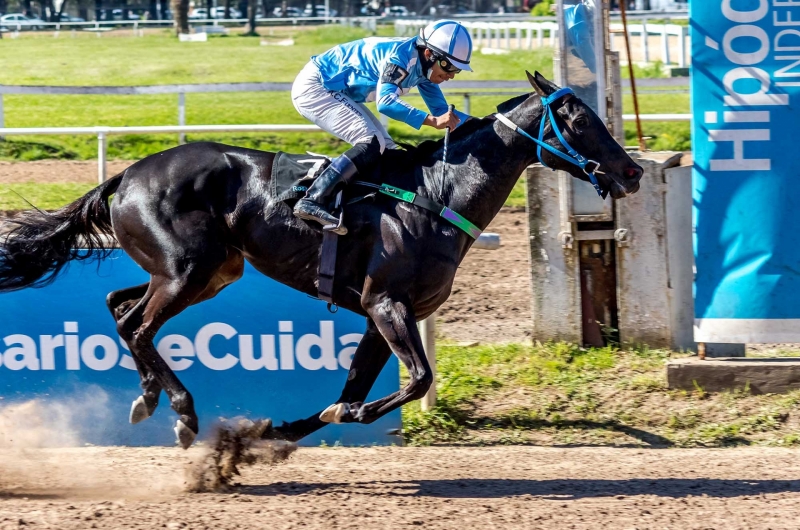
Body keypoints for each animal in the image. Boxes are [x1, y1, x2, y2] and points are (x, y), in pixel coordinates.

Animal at [0, 72, 640, 446]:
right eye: (578, 119)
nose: (632, 171)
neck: (437, 195)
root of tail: (129, 173)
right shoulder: (386, 304)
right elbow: (413, 380)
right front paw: (333, 419)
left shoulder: (383, 315)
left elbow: (356, 385)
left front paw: (278, 429)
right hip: (186, 271)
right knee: (137, 325)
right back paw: (181, 412)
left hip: (210, 271)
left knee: (119, 306)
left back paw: (148, 397)